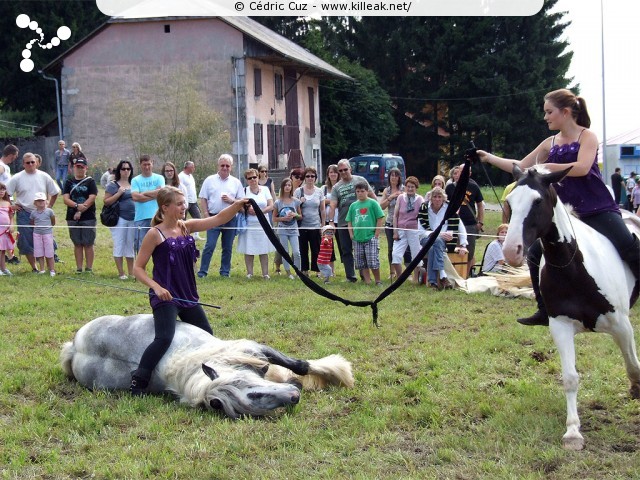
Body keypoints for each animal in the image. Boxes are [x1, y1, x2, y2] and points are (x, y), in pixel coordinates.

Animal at [60, 314, 356, 418]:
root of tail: (74, 349)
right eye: (251, 398)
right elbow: (295, 366)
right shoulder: (254, 349)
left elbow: (298, 365)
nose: (294, 396)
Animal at [504, 165, 640, 450]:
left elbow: (633, 365)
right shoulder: (561, 326)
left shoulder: (622, 325)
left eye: (537, 201)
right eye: (510, 201)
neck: (574, 265)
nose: (512, 250)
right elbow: (570, 378)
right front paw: (573, 432)